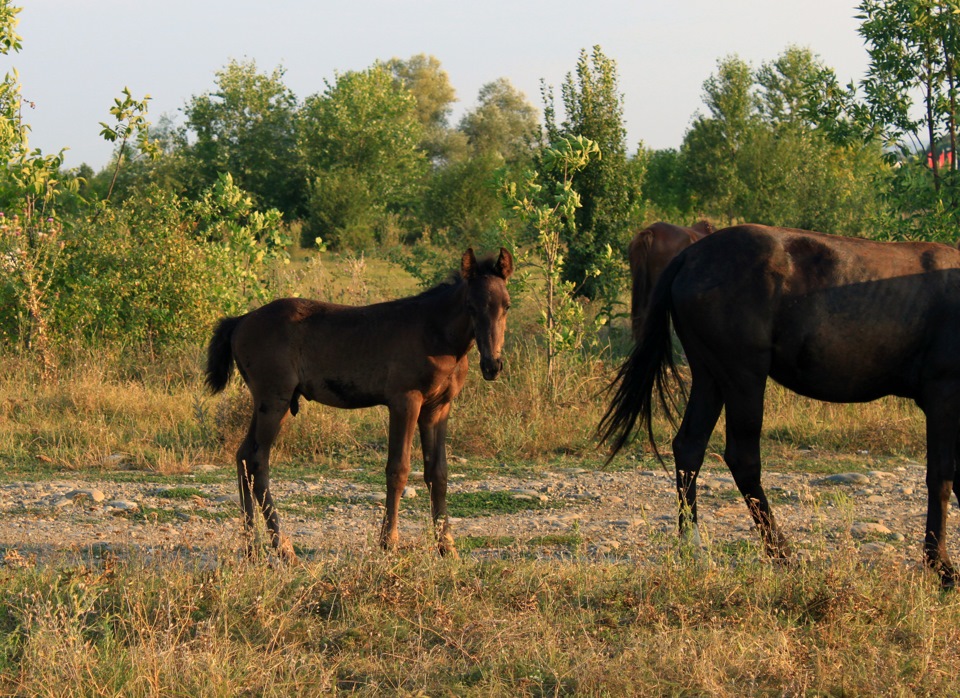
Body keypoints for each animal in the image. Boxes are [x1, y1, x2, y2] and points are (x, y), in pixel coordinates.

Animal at [206, 247, 512, 556]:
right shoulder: (405, 401)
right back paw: (282, 546)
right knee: (258, 461)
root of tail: (240, 320)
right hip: (274, 400)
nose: (492, 366)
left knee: (244, 456)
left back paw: (250, 545)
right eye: (470, 306)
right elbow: (398, 469)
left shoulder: (437, 407)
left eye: (506, 306)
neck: (435, 333)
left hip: (267, 402)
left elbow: (437, 472)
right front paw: (389, 541)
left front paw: (446, 545)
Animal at [600, 226, 960, 584]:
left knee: (689, 447)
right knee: (743, 459)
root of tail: (689, 256)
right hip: (743, 375)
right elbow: (941, 477)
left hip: (708, 375)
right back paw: (782, 553)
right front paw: (941, 565)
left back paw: (693, 548)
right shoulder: (943, 396)